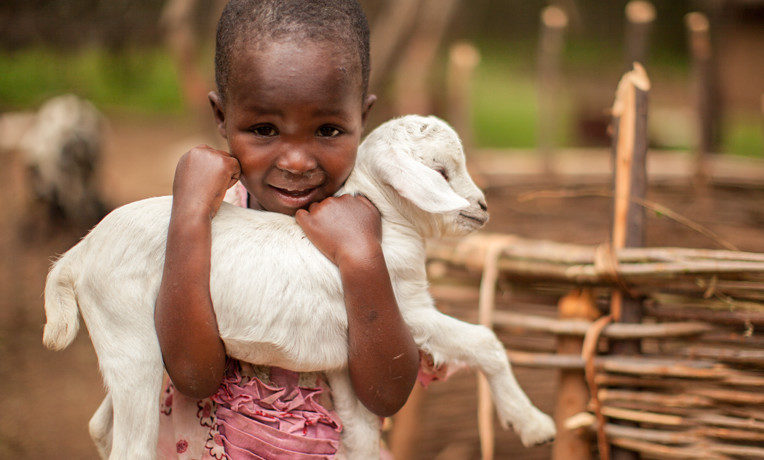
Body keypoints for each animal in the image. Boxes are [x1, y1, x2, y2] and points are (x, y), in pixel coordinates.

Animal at [43, 116, 556, 460]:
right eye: (441, 172)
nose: (482, 208)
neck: (382, 219)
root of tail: (79, 254)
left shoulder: (352, 363)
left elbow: (362, 431)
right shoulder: (409, 312)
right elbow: (486, 342)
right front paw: (533, 424)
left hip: (132, 347)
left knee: (102, 424)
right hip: (129, 334)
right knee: (131, 446)